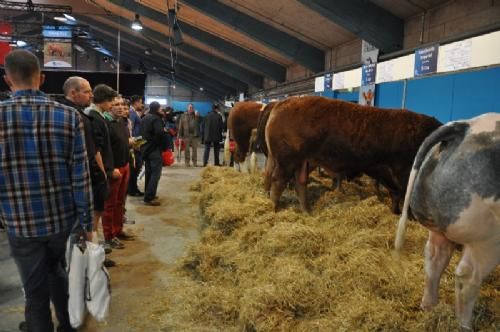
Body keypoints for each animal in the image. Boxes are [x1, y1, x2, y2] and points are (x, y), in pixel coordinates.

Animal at [266, 95, 442, 215]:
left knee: (300, 182)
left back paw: (307, 212)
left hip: (302, 160)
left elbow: (398, 193)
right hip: (286, 159)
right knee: (278, 180)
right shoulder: (403, 170)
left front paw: (396, 212)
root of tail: (283, 103)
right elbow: (405, 195)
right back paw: (274, 207)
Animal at [394, 113, 500, 330]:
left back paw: (428, 307)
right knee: (468, 275)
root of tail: (465, 126)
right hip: (489, 236)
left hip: (438, 225)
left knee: (434, 255)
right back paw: (465, 326)